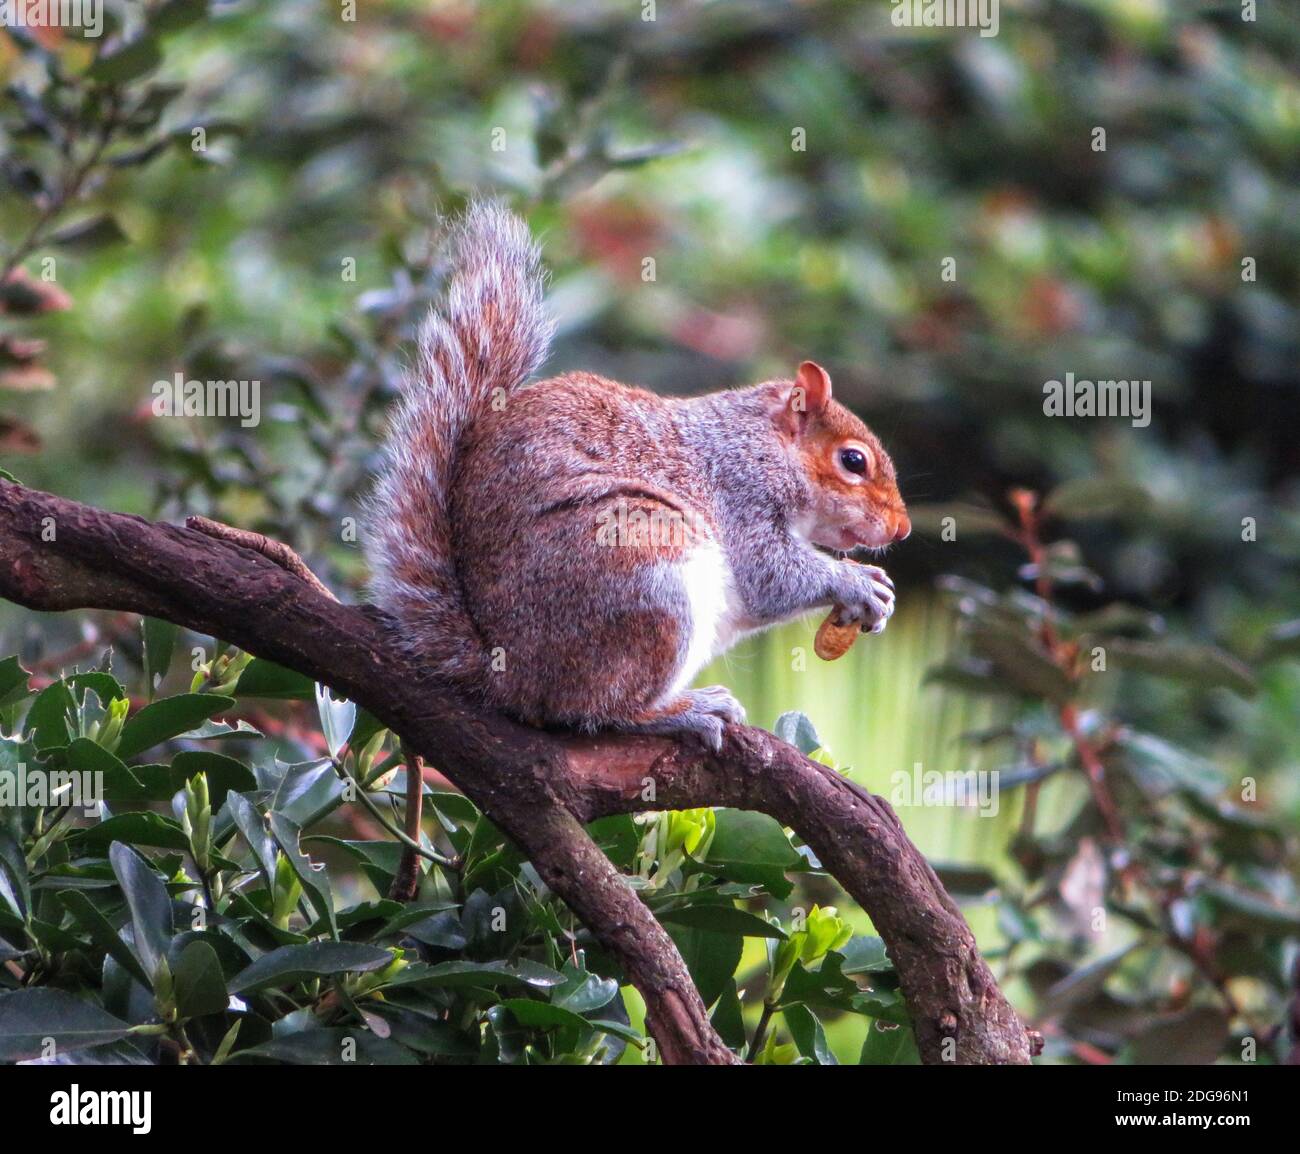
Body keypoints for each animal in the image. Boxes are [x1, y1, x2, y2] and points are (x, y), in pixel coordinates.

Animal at [366, 202, 909, 753]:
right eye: (853, 461)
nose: (901, 528)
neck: (761, 444)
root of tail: (508, 674)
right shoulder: (741, 494)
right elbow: (769, 574)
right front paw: (857, 583)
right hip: (645, 569)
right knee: (595, 710)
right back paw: (685, 710)